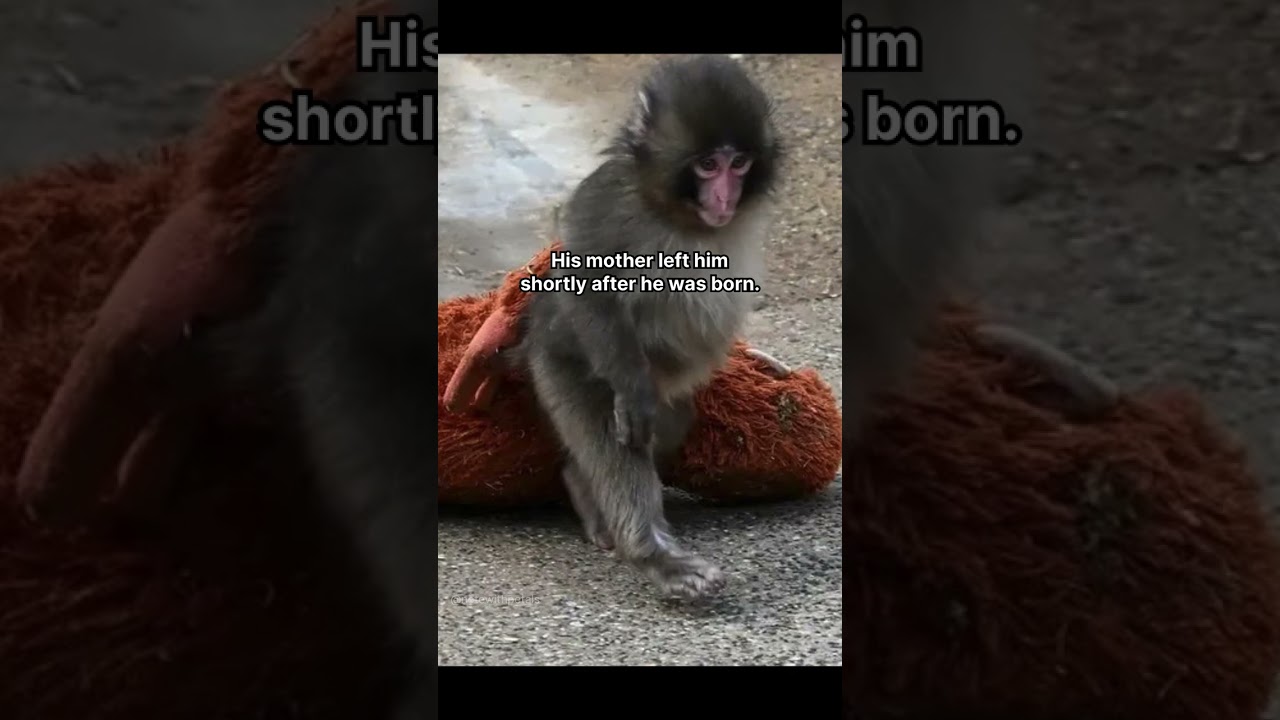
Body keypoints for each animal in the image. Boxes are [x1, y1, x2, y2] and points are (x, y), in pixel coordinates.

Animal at [509, 55, 781, 600]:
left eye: (739, 164)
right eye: (707, 165)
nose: (725, 198)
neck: (676, 214)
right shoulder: (608, 203)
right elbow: (588, 281)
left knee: (671, 420)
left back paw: (583, 485)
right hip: (558, 368)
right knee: (614, 433)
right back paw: (652, 553)